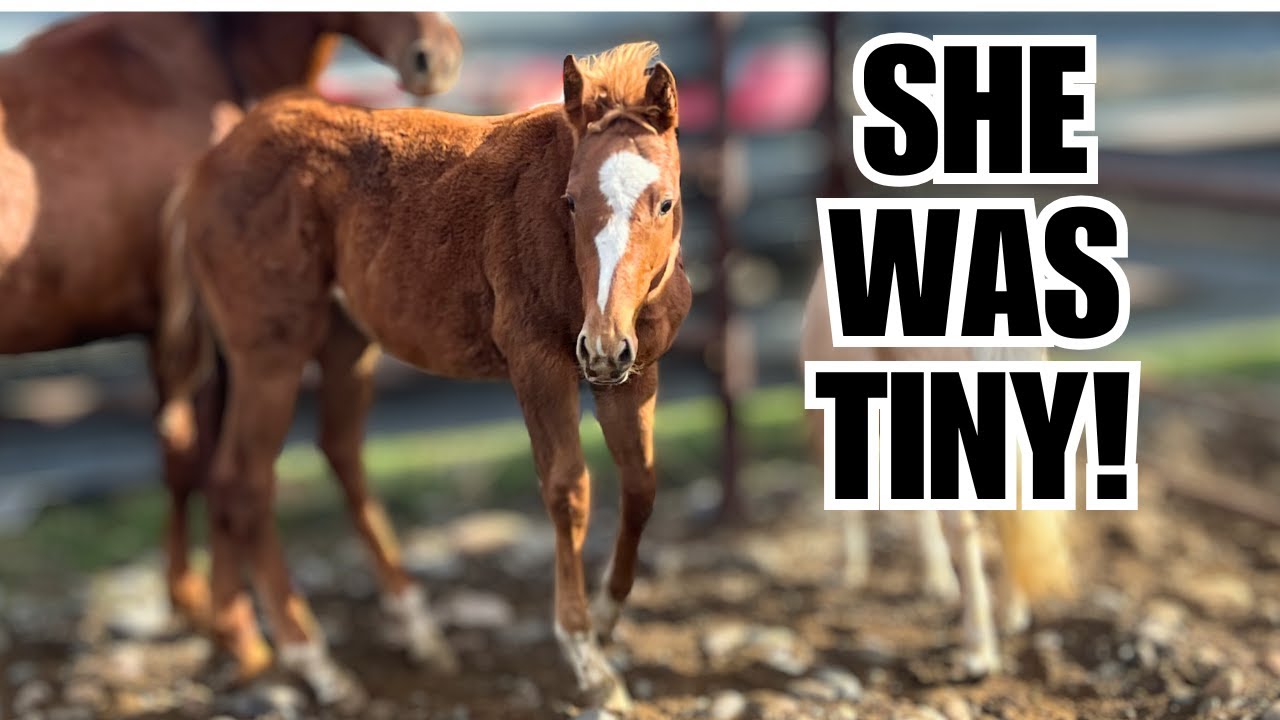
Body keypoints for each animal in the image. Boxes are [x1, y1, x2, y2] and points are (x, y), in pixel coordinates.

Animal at [0, 10, 462, 651]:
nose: (434, 57)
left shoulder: (169, 337)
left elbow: (181, 462)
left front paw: (198, 605)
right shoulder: (212, 344)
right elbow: (212, 464)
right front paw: (238, 627)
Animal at [161, 42, 690, 710]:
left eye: (665, 202)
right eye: (570, 201)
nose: (600, 347)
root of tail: (206, 166)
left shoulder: (636, 373)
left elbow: (641, 485)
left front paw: (607, 616)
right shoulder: (538, 364)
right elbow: (568, 490)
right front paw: (589, 665)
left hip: (344, 343)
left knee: (334, 453)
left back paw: (398, 632)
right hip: (269, 355)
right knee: (243, 482)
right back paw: (317, 665)